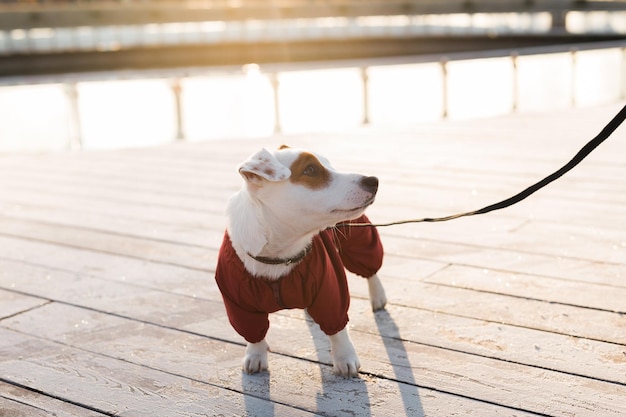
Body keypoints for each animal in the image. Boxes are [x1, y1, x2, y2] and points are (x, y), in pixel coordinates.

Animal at [217, 145, 388, 376]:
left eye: (330, 165)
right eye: (311, 170)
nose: (373, 180)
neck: (280, 254)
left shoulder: (331, 288)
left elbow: (338, 328)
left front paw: (345, 358)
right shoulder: (238, 303)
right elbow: (253, 333)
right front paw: (255, 356)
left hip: (358, 234)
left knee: (371, 268)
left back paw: (378, 296)